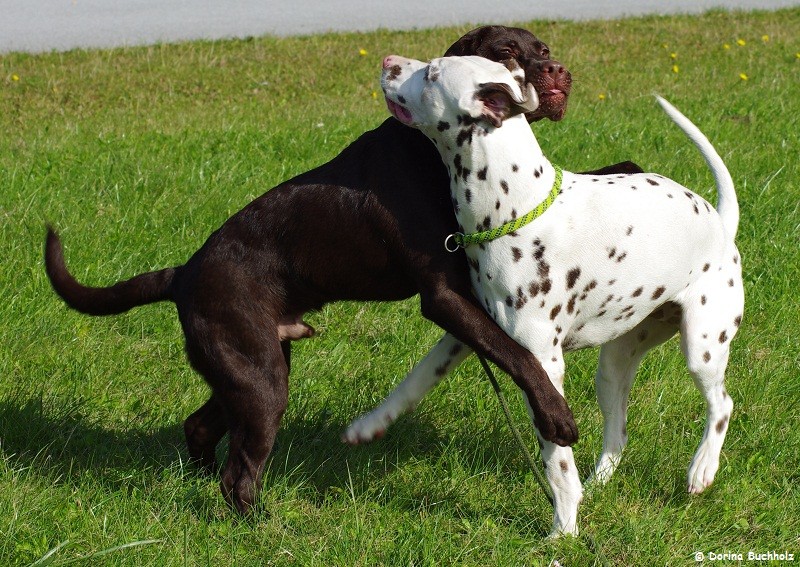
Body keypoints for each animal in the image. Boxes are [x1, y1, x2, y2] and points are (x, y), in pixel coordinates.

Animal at [45, 25, 644, 516]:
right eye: (506, 53)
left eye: (544, 49)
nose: (558, 72)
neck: (428, 150)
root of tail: (184, 273)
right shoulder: (443, 294)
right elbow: (514, 353)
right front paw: (556, 416)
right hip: (261, 380)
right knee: (238, 476)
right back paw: (261, 525)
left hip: (252, 369)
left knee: (202, 430)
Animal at [368, 55, 744, 540]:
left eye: (432, 73)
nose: (388, 62)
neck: (512, 211)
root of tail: (721, 222)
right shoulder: (470, 334)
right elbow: (412, 384)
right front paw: (369, 425)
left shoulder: (542, 368)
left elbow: (556, 461)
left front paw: (564, 526)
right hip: (614, 367)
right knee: (618, 432)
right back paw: (600, 482)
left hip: (702, 348)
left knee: (721, 405)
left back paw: (701, 469)